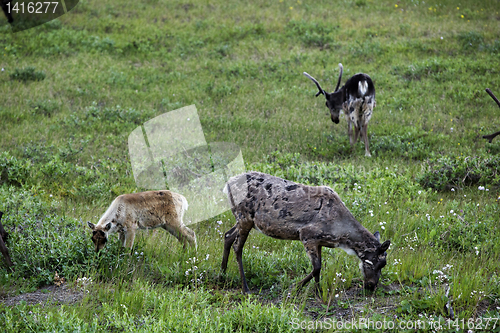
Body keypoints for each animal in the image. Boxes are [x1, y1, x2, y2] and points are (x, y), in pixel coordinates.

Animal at [222, 171, 390, 294]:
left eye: (384, 264)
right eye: (372, 263)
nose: (371, 286)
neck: (340, 235)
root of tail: (227, 184)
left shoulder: (319, 242)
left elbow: (319, 268)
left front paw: (318, 291)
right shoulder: (307, 235)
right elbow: (316, 267)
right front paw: (294, 287)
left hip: (242, 219)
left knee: (227, 235)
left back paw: (222, 273)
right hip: (244, 216)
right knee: (237, 246)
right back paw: (245, 288)